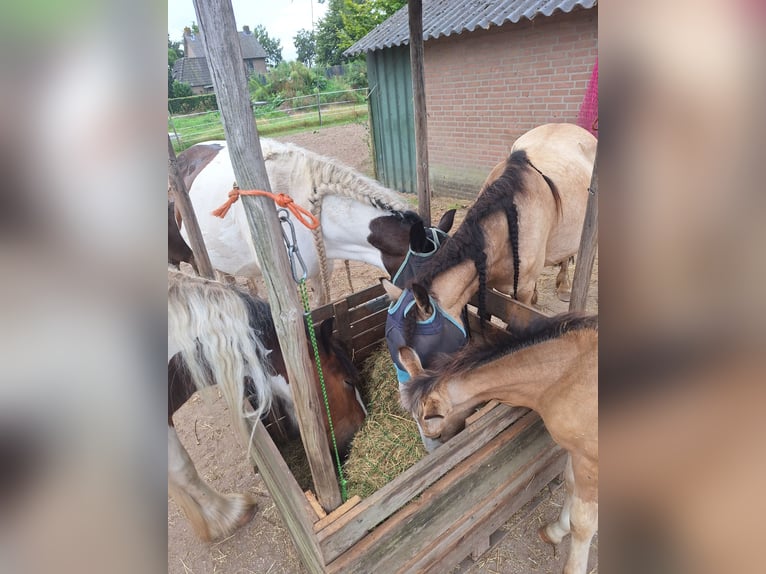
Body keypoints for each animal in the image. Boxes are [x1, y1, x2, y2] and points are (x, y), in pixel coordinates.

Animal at [402, 316, 600, 574]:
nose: (435, 450)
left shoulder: (590, 461)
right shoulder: (576, 452)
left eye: (433, 432)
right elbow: (569, 484)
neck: (565, 374)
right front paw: (556, 531)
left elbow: (583, 523)